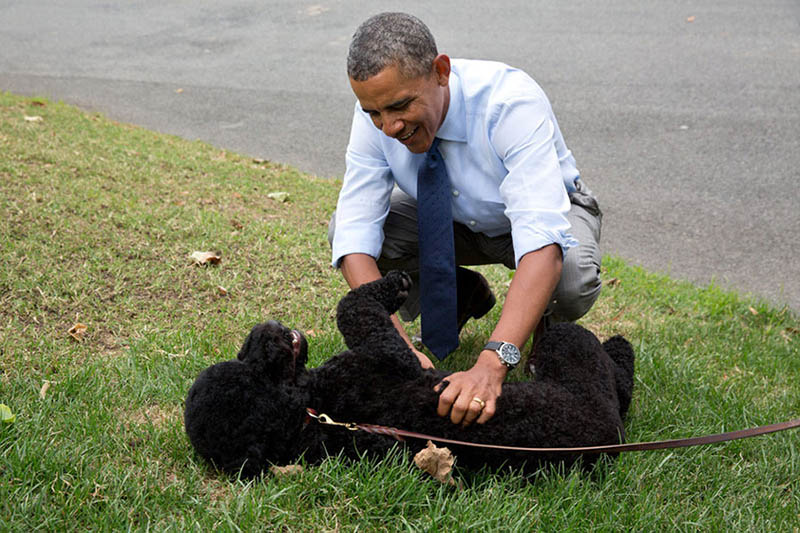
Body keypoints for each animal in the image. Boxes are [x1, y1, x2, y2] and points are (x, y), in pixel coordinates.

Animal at [184, 272, 636, 476]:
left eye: (247, 356)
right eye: (256, 366)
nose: (267, 330)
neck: (310, 414)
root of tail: (609, 443)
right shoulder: (384, 354)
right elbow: (353, 308)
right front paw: (394, 283)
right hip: (572, 349)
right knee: (619, 377)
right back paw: (619, 346)